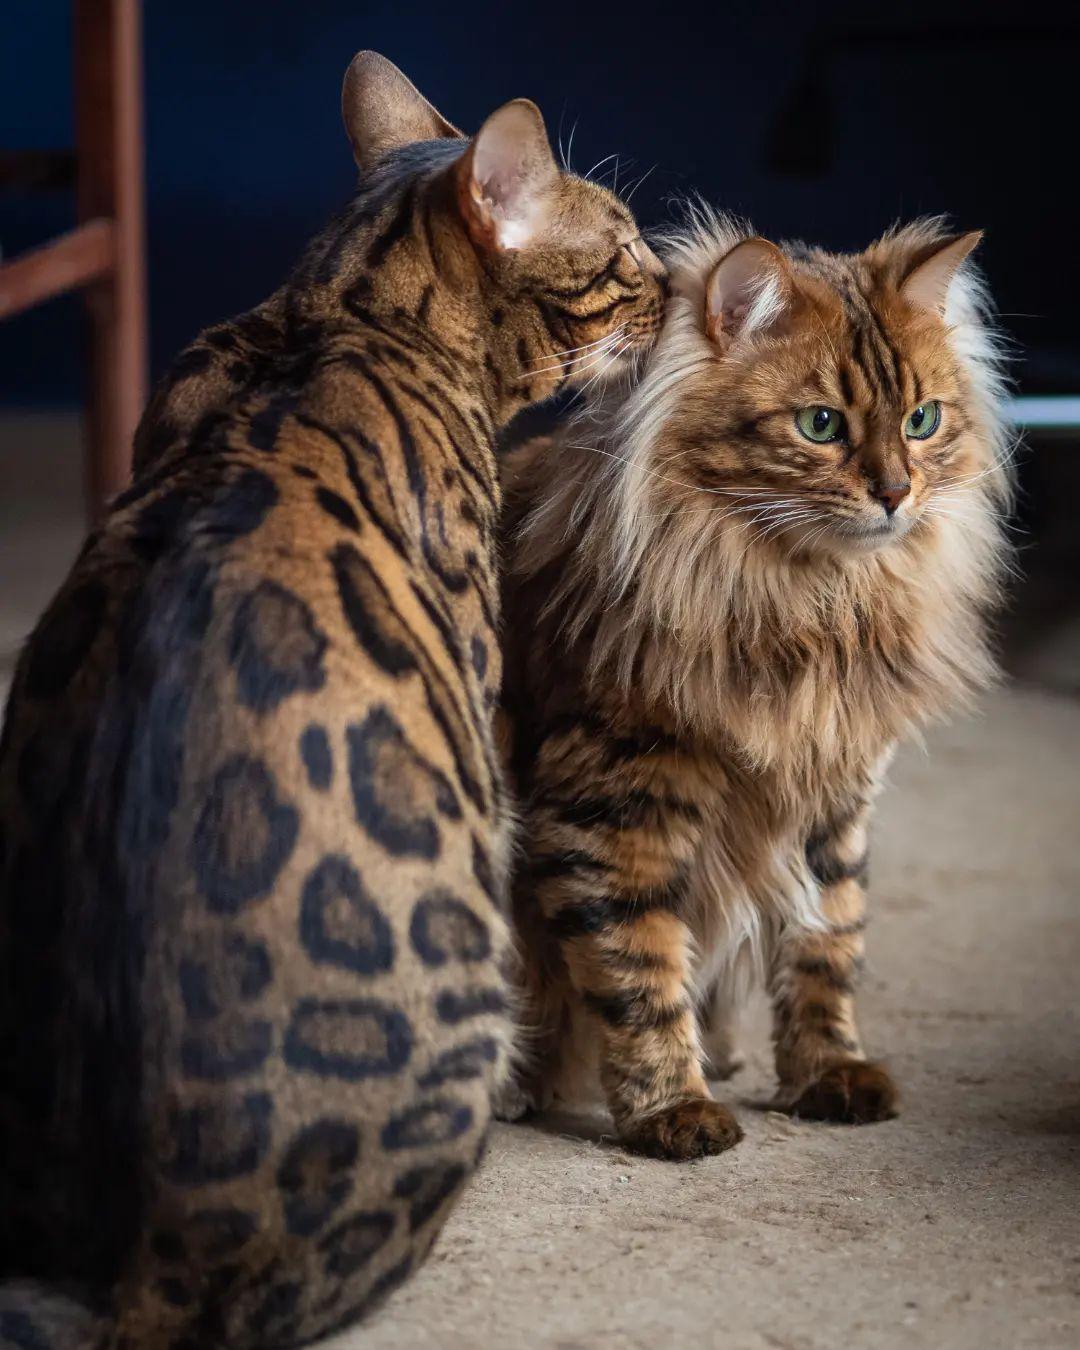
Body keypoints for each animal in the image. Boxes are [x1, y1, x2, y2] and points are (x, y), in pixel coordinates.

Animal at [504, 207, 1015, 1161]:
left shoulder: (837, 797)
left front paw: (829, 1074)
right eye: (819, 425)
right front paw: (674, 1110)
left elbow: (825, 947)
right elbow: (639, 969)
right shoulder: (613, 806)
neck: (805, 606)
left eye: (922, 419)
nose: (897, 491)